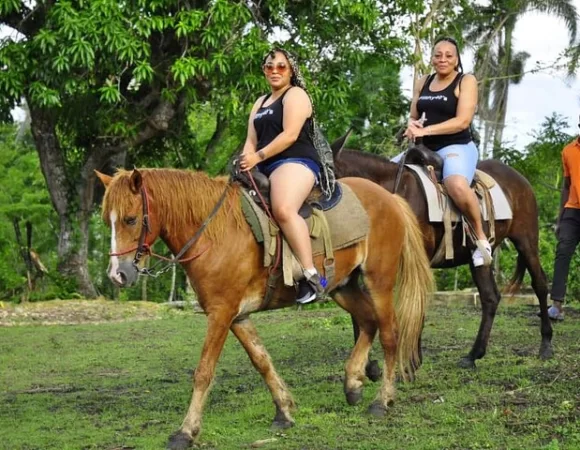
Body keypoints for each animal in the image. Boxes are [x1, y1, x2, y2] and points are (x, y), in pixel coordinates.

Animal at [96, 167, 430, 448]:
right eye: (106, 221)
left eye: (130, 219)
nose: (117, 275)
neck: (214, 232)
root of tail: (388, 197)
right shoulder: (238, 316)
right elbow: (262, 361)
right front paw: (284, 410)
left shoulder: (221, 313)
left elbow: (204, 372)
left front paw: (186, 431)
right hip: (342, 287)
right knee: (368, 322)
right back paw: (353, 382)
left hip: (379, 281)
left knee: (390, 334)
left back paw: (382, 400)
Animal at [330, 138, 552, 372]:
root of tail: (520, 178)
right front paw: (369, 365)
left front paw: (411, 362)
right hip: (477, 258)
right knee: (490, 297)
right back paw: (473, 355)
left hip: (526, 241)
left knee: (539, 284)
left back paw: (546, 345)